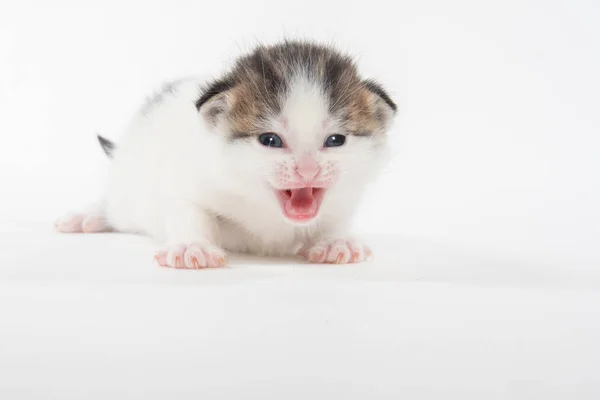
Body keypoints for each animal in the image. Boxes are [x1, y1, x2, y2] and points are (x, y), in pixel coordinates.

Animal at [55, 40, 398, 268]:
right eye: (270, 140)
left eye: (335, 140)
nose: (308, 170)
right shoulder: (186, 179)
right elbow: (188, 210)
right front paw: (191, 246)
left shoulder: (344, 199)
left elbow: (336, 219)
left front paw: (335, 241)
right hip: (129, 188)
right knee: (115, 203)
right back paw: (87, 216)